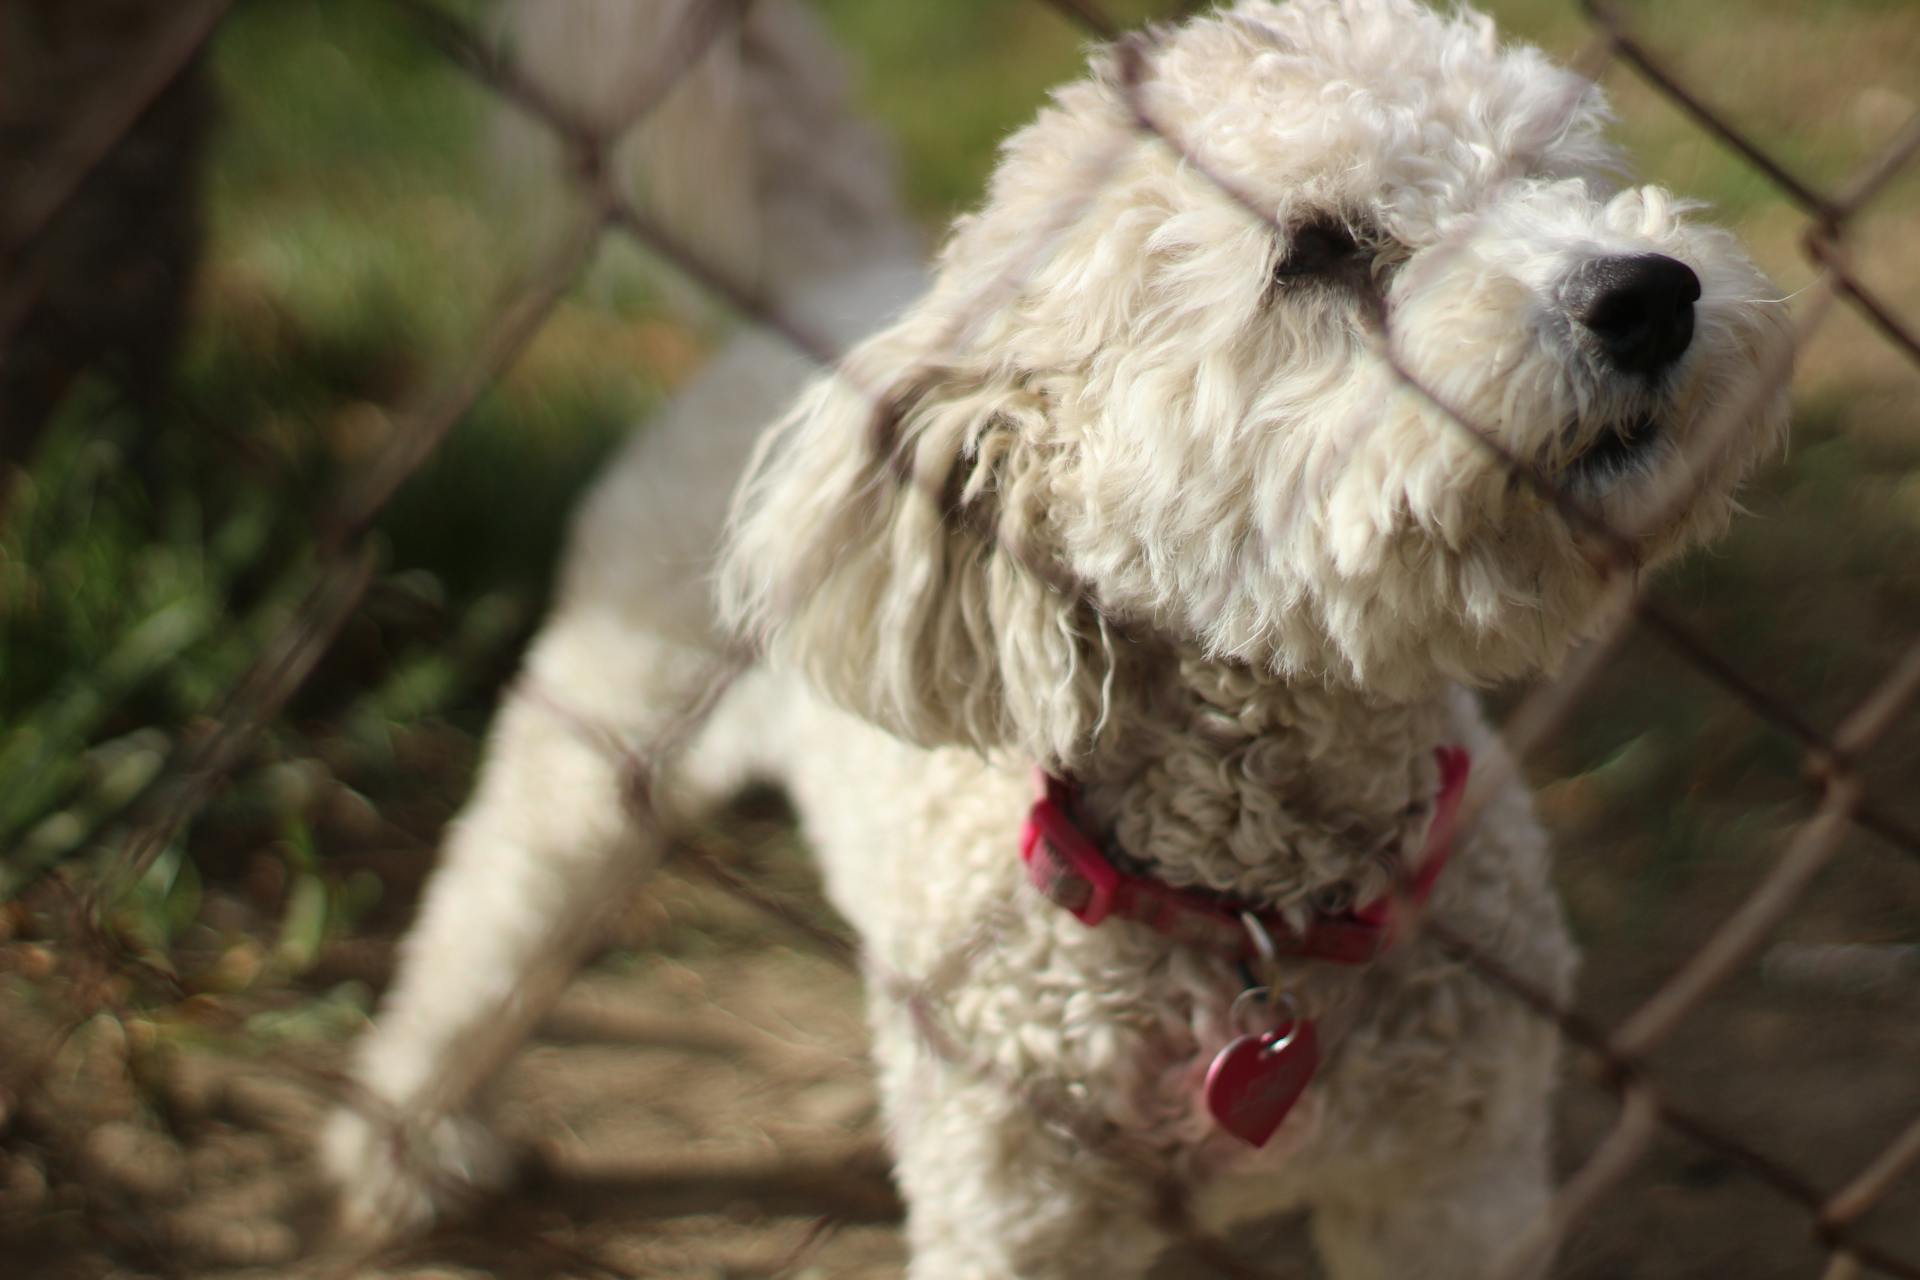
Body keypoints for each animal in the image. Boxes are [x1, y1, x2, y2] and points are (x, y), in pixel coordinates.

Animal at [326, 0, 1781, 1274]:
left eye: (1561, 177)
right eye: (1315, 249)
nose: (1649, 293)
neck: (1252, 904)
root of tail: (839, 276)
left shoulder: (1455, 1181)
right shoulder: (1017, 1207)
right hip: (606, 716)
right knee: (487, 915)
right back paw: (403, 1144)